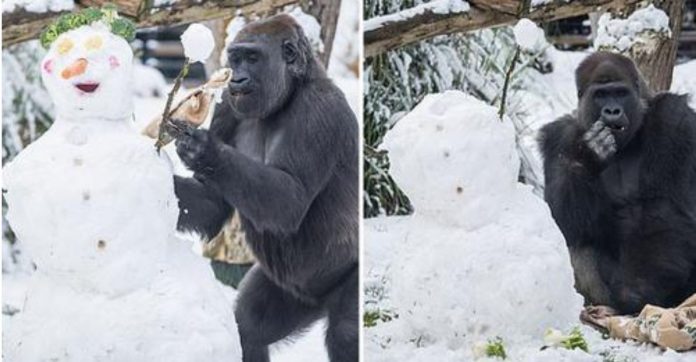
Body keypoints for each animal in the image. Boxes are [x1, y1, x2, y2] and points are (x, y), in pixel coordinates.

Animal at [170, 12, 358, 360]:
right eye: (235, 59)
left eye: (253, 58)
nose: (236, 80)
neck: (291, 92)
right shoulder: (227, 107)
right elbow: (211, 201)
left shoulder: (319, 112)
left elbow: (290, 200)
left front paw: (206, 151)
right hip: (291, 293)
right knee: (249, 328)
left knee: (346, 334)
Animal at [540, 52, 696, 316]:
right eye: (601, 95)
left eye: (620, 93)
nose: (612, 110)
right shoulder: (557, 135)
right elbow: (562, 219)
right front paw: (588, 156)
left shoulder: (674, 118)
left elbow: (663, 208)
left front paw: (637, 292)